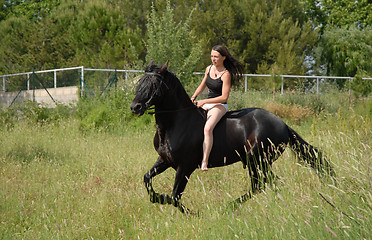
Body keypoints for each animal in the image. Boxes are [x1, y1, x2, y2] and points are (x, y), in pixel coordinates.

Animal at [130, 61, 334, 213]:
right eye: (140, 83)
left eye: (154, 85)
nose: (135, 107)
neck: (175, 122)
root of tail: (283, 124)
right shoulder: (164, 160)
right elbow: (147, 179)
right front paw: (156, 197)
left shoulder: (185, 167)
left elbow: (174, 196)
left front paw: (188, 210)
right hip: (259, 162)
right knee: (268, 183)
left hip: (257, 160)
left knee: (260, 184)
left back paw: (229, 206)